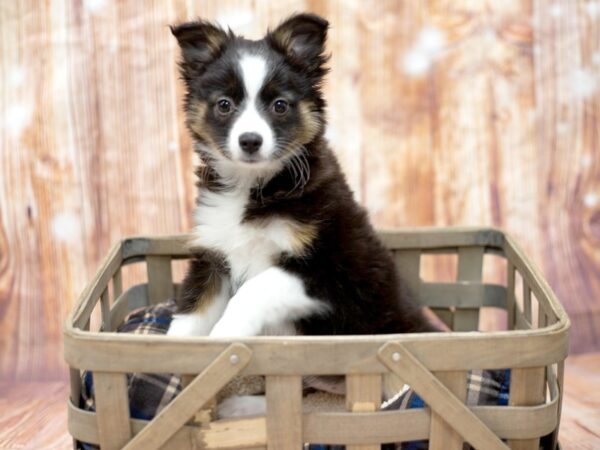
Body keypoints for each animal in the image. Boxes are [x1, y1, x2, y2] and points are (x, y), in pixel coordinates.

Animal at [169, 12, 436, 416]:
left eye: (280, 105)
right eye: (224, 105)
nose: (250, 141)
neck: (254, 187)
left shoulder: (327, 269)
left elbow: (254, 289)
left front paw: (227, 334)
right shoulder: (214, 257)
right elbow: (190, 312)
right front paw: (168, 357)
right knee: (299, 395)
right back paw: (240, 407)